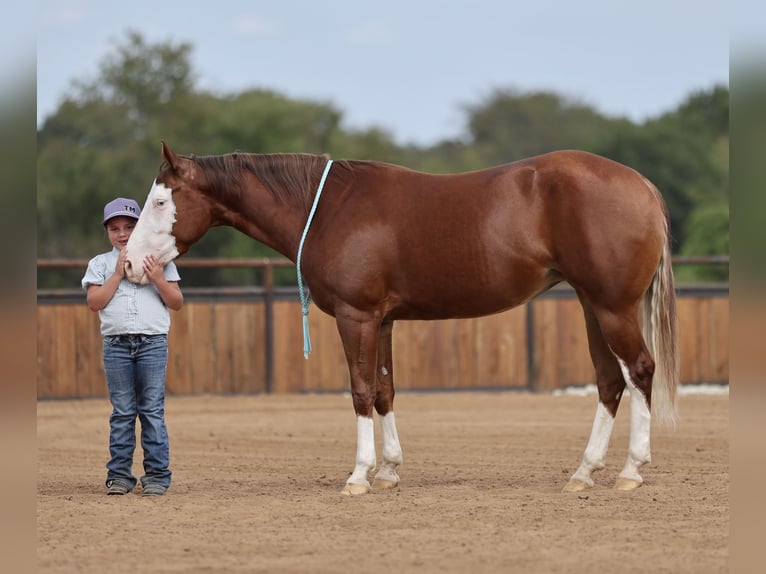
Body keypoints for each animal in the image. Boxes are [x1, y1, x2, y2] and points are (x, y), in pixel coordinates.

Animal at [125, 141, 678, 495]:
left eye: (160, 200)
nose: (131, 264)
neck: (327, 209)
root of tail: (644, 186)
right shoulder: (383, 320)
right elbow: (385, 390)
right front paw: (389, 471)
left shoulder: (356, 317)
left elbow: (360, 391)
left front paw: (358, 476)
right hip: (591, 305)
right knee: (610, 382)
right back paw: (584, 473)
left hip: (611, 307)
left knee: (640, 371)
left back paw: (631, 471)